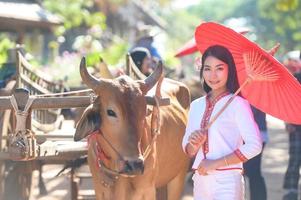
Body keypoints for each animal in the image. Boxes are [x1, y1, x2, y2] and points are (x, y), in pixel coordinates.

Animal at [73, 57, 189, 200]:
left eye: (145, 111)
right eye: (110, 112)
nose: (135, 165)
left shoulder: (148, 190)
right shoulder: (100, 191)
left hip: (178, 176)